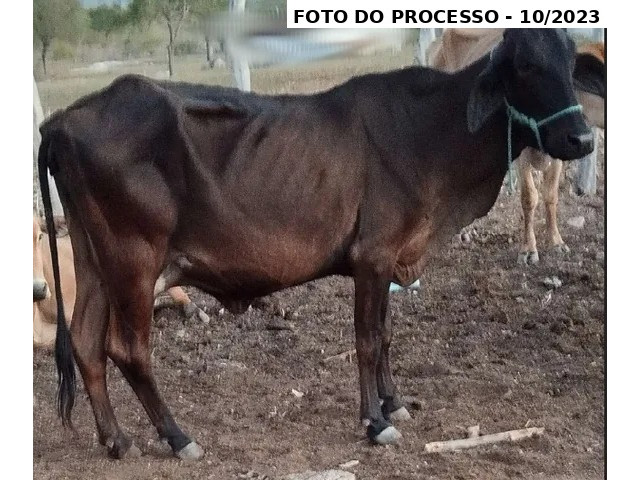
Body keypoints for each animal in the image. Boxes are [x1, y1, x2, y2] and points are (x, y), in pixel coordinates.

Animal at [429, 28, 605, 264]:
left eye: (571, 64)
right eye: (525, 66)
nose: (585, 140)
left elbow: (550, 195)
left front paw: (556, 241)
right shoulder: (521, 154)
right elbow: (529, 197)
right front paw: (528, 249)